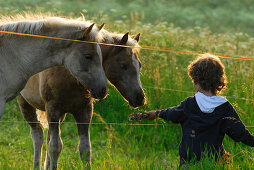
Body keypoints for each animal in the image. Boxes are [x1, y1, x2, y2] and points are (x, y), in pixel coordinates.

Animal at [18, 24, 145, 169]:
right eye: (123, 65)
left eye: (140, 65)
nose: (140, 97)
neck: (69, 75)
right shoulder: (53, 109)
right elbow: (55, 147)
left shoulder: (84, 111)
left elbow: (85, 149)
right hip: (25, 103)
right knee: (37, 134)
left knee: (48, 135)